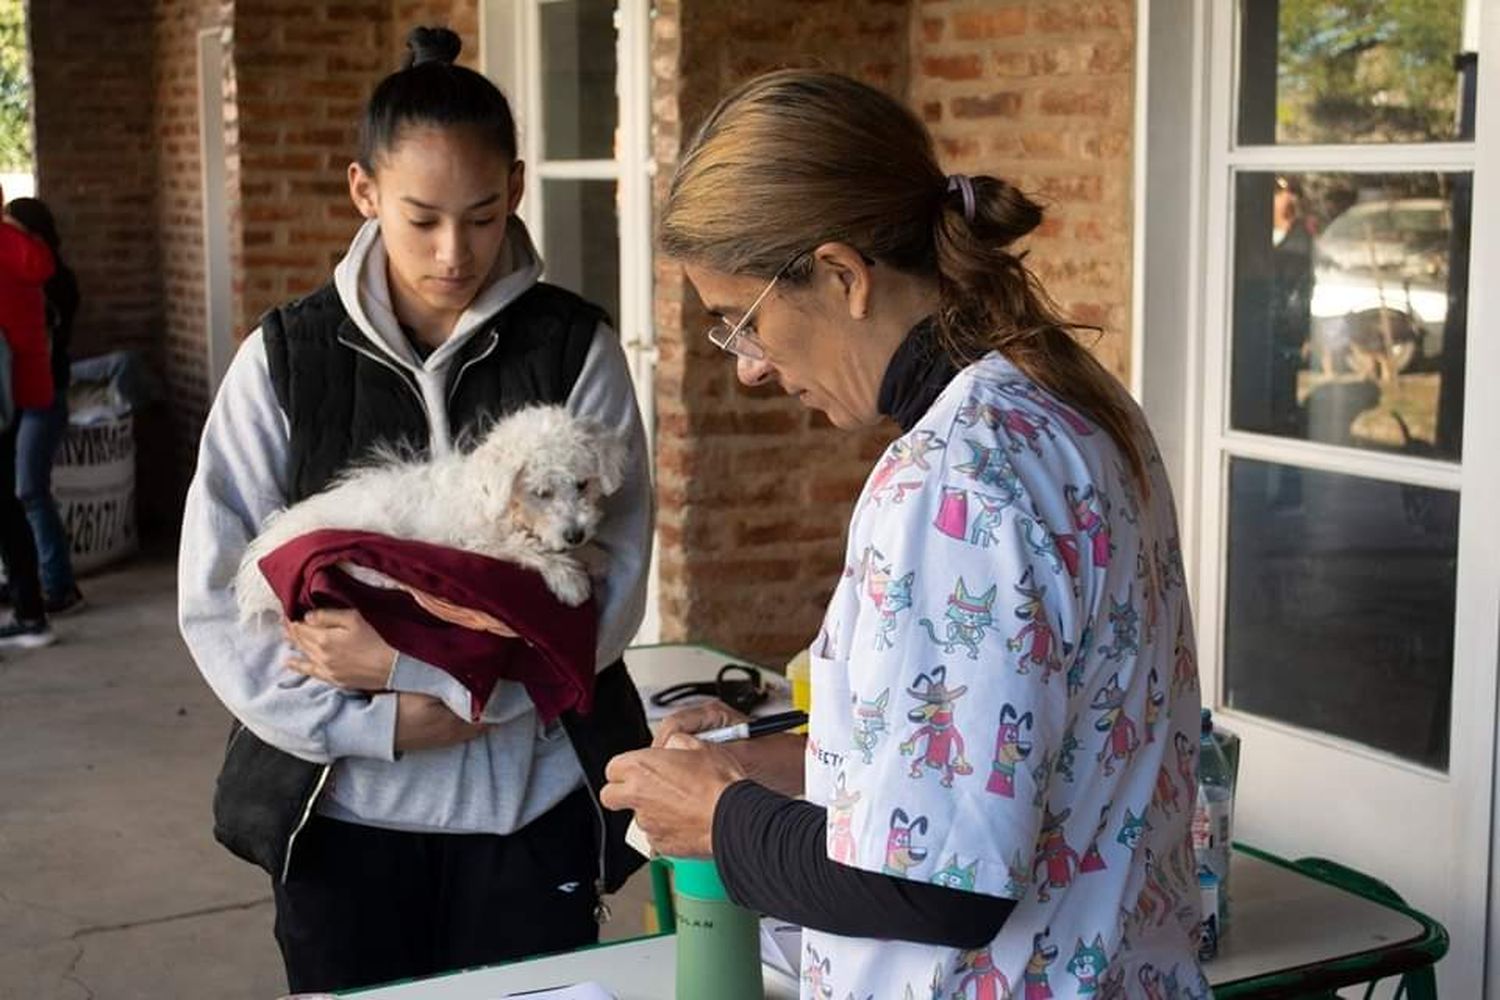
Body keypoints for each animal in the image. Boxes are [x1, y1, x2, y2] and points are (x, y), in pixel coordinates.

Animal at [232, 404, 627, 620]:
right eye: (541, 493)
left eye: (582, 485)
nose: (575, 534)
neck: (490, 499)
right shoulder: (474, 543)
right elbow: (524, 546)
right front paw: (569, 578)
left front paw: (593, 555)